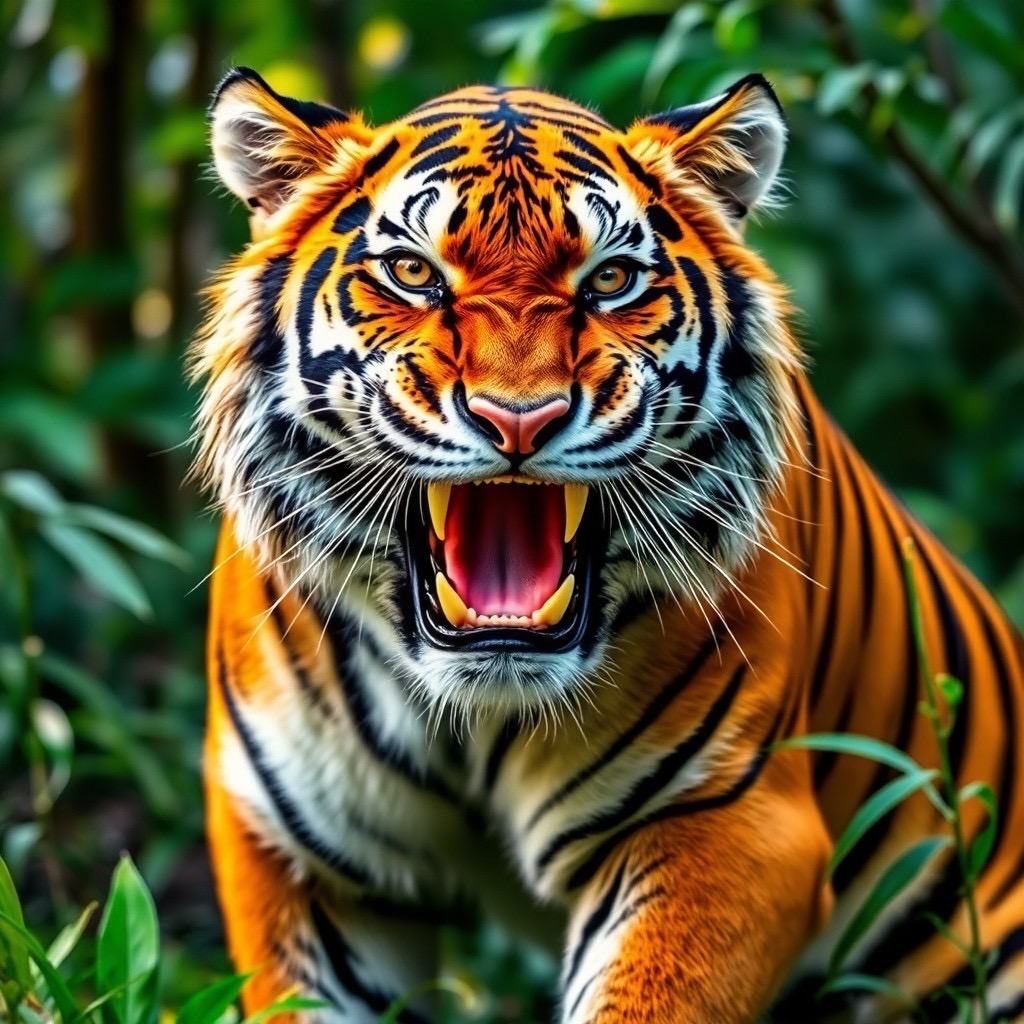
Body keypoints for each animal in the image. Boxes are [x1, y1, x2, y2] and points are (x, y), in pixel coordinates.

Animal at [189, 66, 1024, 1024]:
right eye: (413, 272)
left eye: (612, 280)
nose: (520, 418)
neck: (479, 716)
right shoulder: (300, 855)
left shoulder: (728, 823)